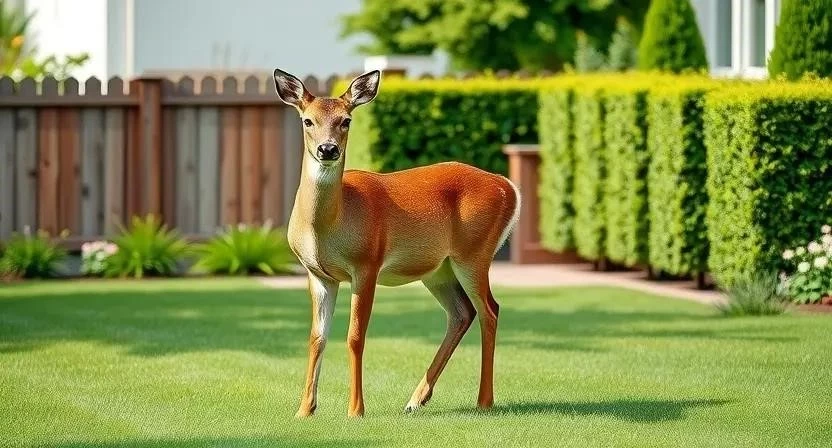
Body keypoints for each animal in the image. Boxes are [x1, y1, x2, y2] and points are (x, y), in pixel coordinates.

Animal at [272, 68, 521, 418]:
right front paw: (305, 410)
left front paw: (356, 410)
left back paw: (484, 401)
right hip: (439, 270)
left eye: (346, 120)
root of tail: (507, 186)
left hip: (474, 253)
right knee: (463, 313)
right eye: (307, 120)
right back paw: (416, 400)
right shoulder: (318, 274)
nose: (328, 149)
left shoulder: (366, 264)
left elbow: (355, 336)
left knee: (490, 310)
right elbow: (317, 337)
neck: (331, 225)